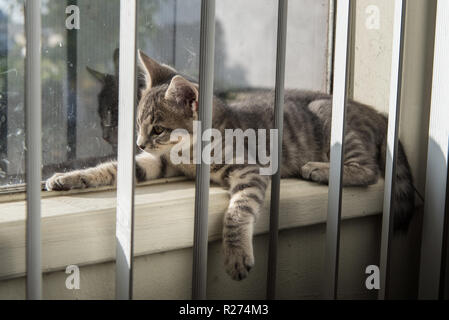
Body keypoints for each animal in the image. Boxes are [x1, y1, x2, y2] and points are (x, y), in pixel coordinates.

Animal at [45, 50, 412, 280]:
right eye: (136, 125)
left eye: (158, 128)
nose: (138, 143)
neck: (189, 153)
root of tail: (378, 113)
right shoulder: (158, 163)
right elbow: (113, 169)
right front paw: (67, 178)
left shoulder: (250, 168)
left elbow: (238, 211)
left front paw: (235, 254)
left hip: (329, 117)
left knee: (368, 170)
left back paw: (318, 169)